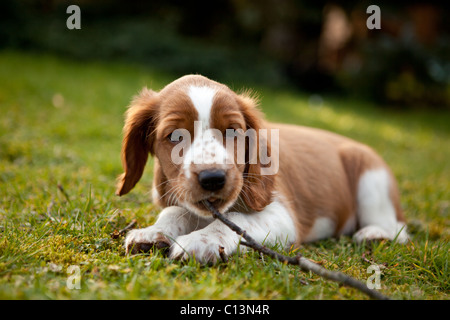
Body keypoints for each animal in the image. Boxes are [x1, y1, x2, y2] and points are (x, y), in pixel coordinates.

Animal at [115, 74, 408, 262]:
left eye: (232, 131)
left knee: (399, 229)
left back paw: (373, 234)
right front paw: (152, 232)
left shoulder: (283, 215)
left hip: (371, 178)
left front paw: (201, 241)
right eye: (175, 136)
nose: (213, 178)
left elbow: (238, 220)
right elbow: (175, 211)